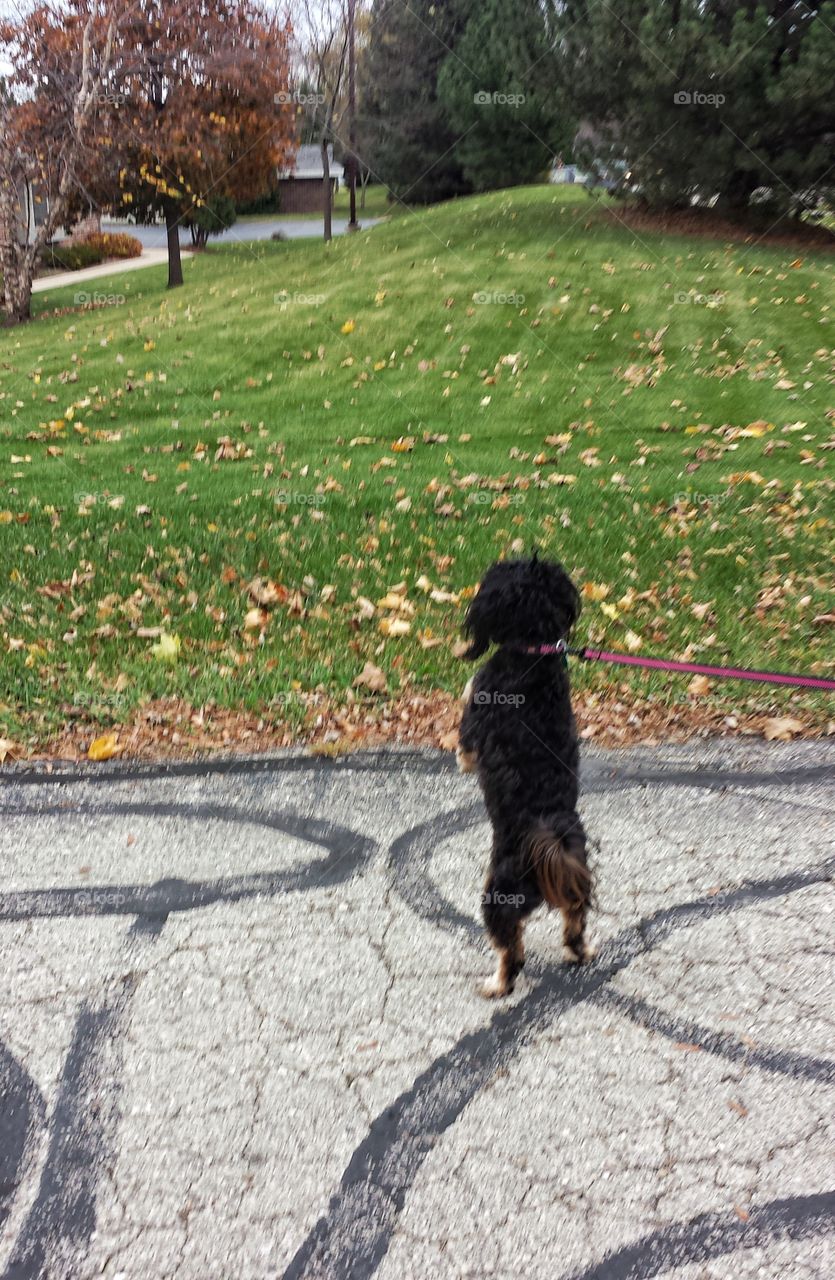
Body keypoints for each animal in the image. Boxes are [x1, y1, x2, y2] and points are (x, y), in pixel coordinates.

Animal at [455, 555, 594, 993]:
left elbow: (464, 743)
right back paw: (580, 951)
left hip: (497, 896)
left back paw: (497, 984)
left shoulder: (475, 714)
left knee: (511, 950)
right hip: (572, 885)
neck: (533, 655)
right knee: (574, 920)